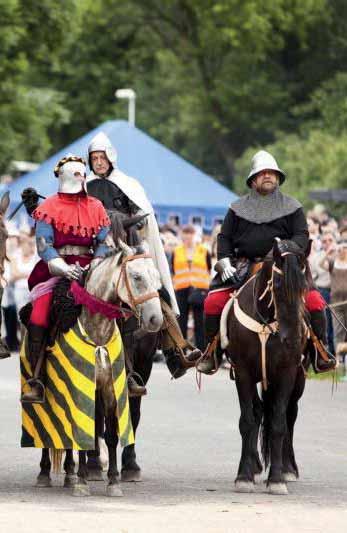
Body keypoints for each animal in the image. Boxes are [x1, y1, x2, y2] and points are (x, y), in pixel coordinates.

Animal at [226, 237, 310, 494]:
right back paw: (254, 465)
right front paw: (244, 476)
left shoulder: (287, 373)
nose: (293, 339)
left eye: (305, 287)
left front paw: (277, 479)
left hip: (297, 380)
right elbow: (248, 420)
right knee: (258, 411)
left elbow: (279, 423)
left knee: (289, 415)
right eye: (279, 285)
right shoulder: (243, 372)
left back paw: (288, 468)